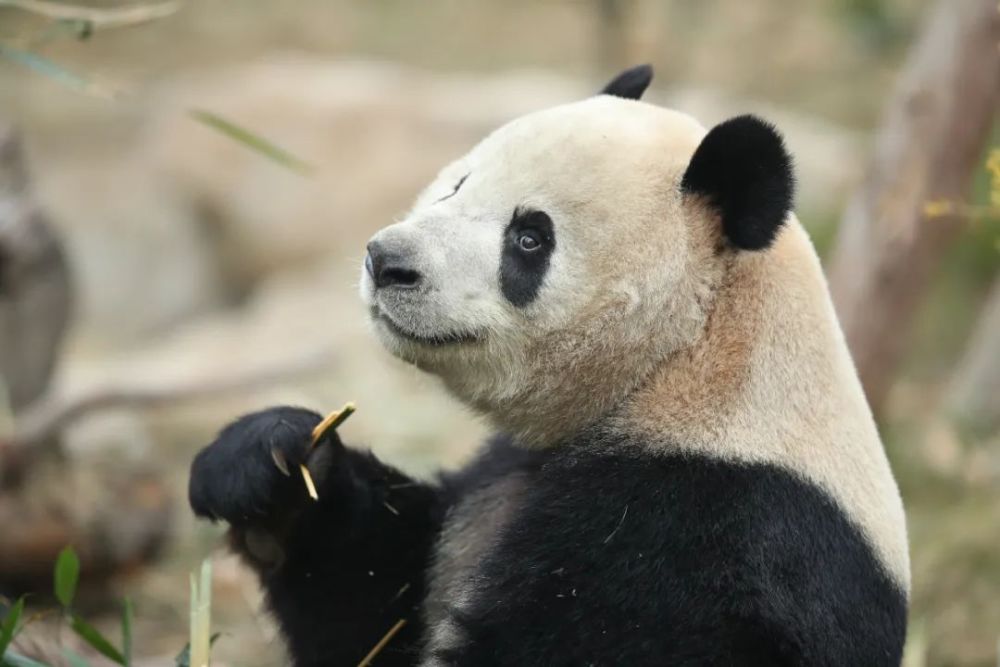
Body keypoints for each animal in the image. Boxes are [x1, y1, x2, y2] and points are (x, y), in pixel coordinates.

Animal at [189, 64, 916, 667]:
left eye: (530, 237)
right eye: (458, 183)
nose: (386, 261)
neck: (692, 360)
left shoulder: (712, 530)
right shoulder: (503, 474)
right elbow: (374, 610)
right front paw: (270, 465)